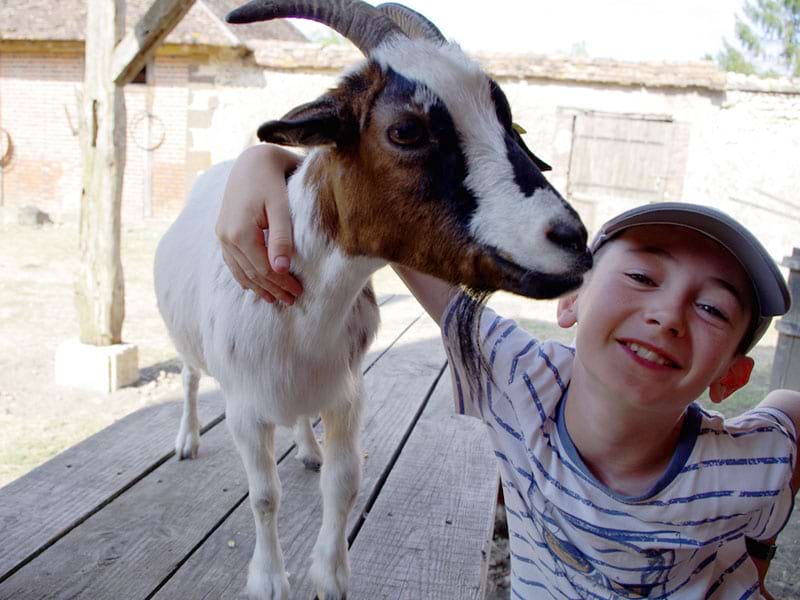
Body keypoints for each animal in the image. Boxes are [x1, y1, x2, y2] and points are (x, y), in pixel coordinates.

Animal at [155, 2, 592, 596]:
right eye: (406, 130)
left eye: (507, 121)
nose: (572, 240)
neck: (301, 319)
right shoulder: (245, 409)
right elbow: (264, 496)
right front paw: (269, 579)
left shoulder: (346, 394)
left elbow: (345, 481)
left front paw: (330, 575)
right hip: (189, 349)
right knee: (187, 377)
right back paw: (187, 439)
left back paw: (308, 450)